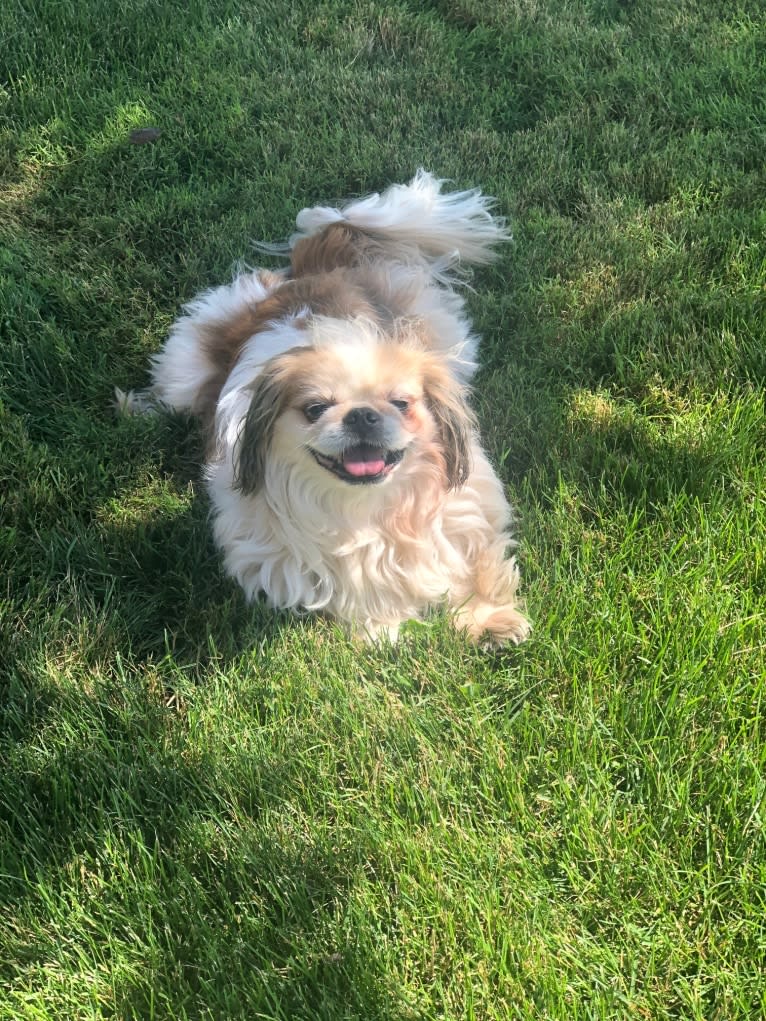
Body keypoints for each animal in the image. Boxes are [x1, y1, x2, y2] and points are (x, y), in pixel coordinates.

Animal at [120, 170, 531, 641]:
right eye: (315, 409)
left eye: (401, 403)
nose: (362, 415)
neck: (369, 508)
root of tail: (313, 270)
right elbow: (357, 585)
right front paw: (383, 628)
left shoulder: (470, 505)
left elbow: (478, 561)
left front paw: (490, 620)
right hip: (183, 368)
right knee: (170, 395)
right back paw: (136, 411)